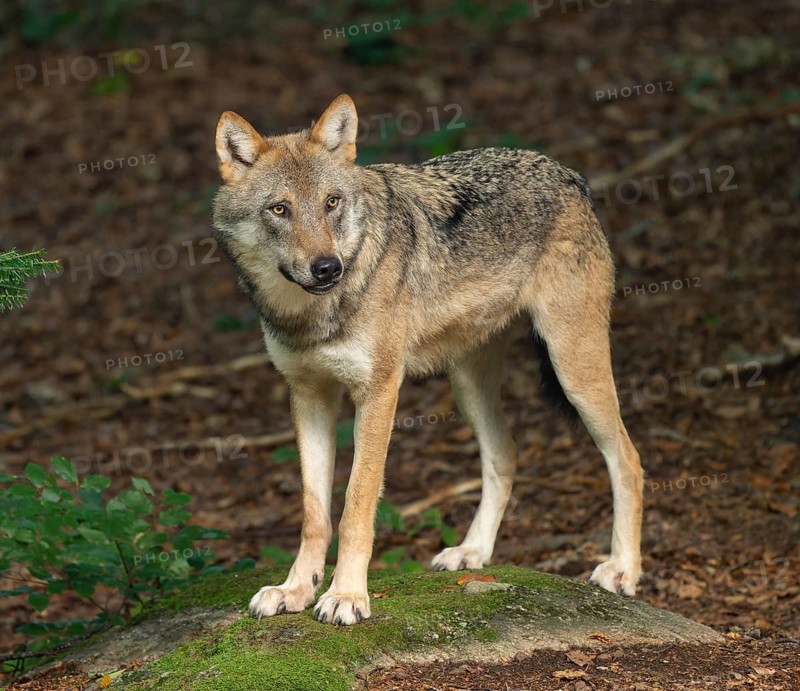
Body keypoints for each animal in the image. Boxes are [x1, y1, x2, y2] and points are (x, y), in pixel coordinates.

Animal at [212, 95, 643, 625]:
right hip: (468, 385)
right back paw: (473, 553)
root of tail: (568, 173)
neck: (309, 315)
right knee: (505, 455)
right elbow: (314, 514)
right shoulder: (309, 395)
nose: (328, 267)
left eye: (332, 202)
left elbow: (356, 507)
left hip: (573, 369)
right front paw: (296, 589)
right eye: (280, 209)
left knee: (628, 459)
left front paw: (346, 595)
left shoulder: (379, 392)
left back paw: (622, 570)